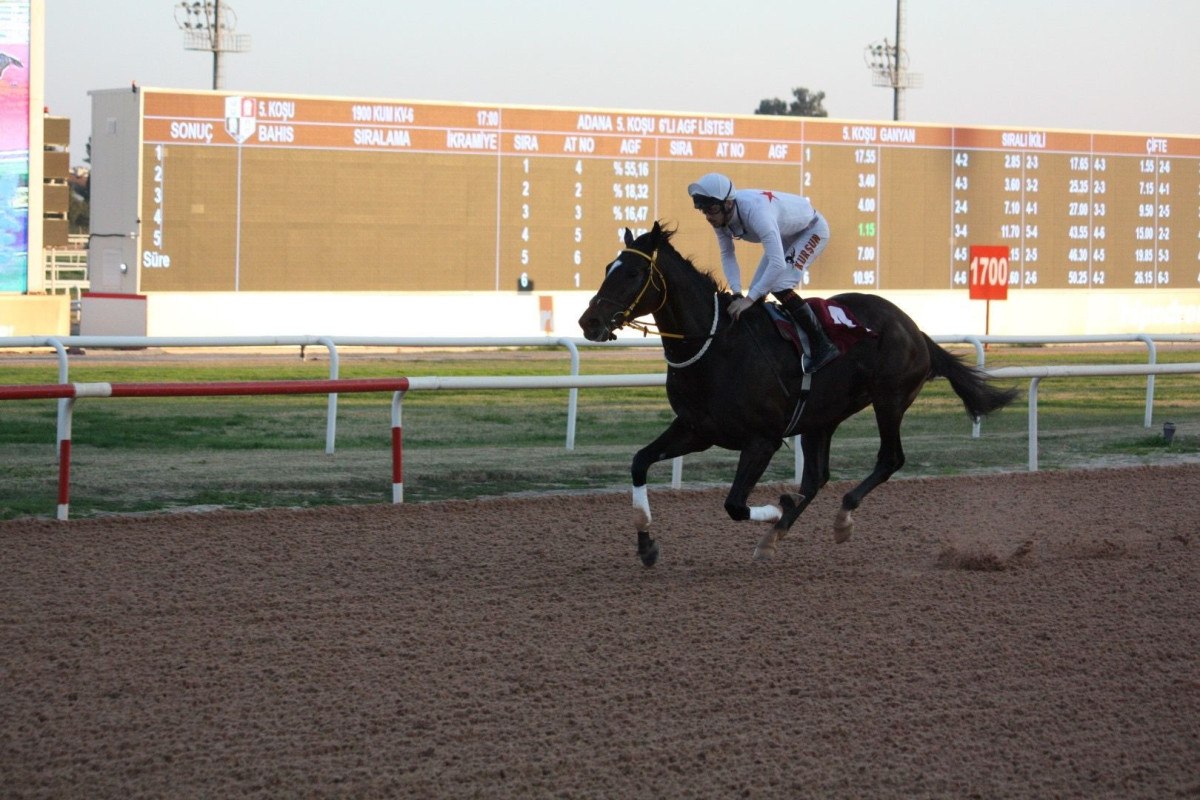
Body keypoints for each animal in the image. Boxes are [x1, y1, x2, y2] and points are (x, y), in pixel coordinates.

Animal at [576, 221, 1017, 566]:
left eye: (633, 273)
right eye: (607, 268)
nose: (588, 321)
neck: (716, 347)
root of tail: (913, 327)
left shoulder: (763, 439)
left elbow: (735, 504)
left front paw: (779, 508)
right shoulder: (697, 429)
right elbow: (639, 462)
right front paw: (646, 544)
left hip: (890, 399)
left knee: (889, 458)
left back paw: (840, 519)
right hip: (822, 417)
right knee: (817, 477)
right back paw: (776, 536)